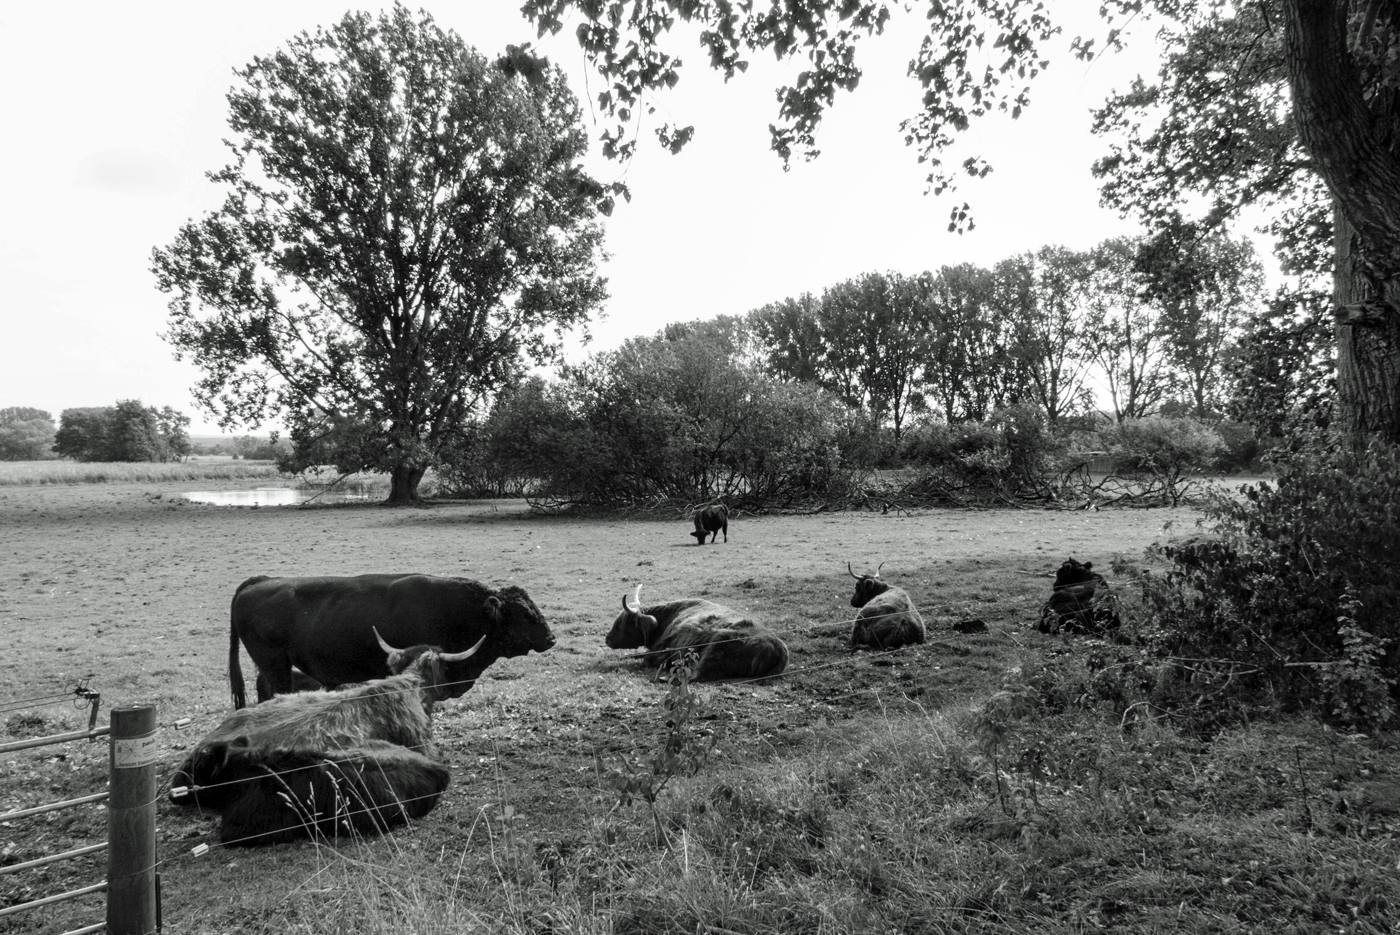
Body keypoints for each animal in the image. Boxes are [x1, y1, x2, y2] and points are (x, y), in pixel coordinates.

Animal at [607, 585, 795, 680]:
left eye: (620, 624)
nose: (607, 639)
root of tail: (779, 648)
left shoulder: (664, 650)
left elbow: (645, 659)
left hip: (714, 649)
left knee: (696, 675)